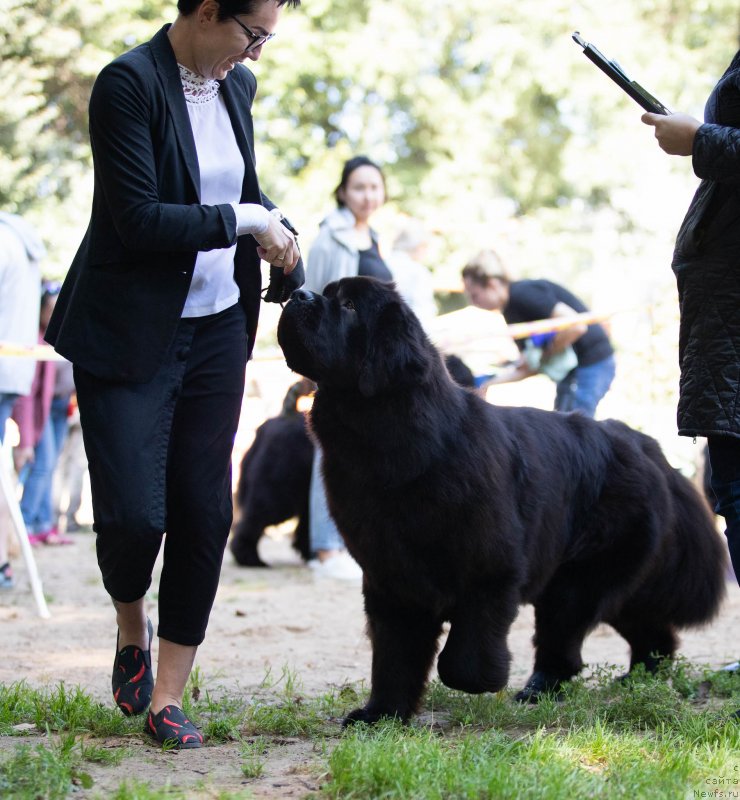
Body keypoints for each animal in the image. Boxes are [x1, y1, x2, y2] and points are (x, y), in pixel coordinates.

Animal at [276, 276, 724, 724]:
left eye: (350, 306)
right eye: (325, 293)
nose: (297, 294)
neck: (393, 442)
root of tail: (641, 443)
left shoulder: (489, 569)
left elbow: (461, 658)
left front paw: (484, 680)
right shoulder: (390, 575)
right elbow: (393, 654)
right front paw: (381, 714)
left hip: (580, 578)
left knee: (564, 639)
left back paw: (544, 688)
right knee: (644, 629)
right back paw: (639, 679)